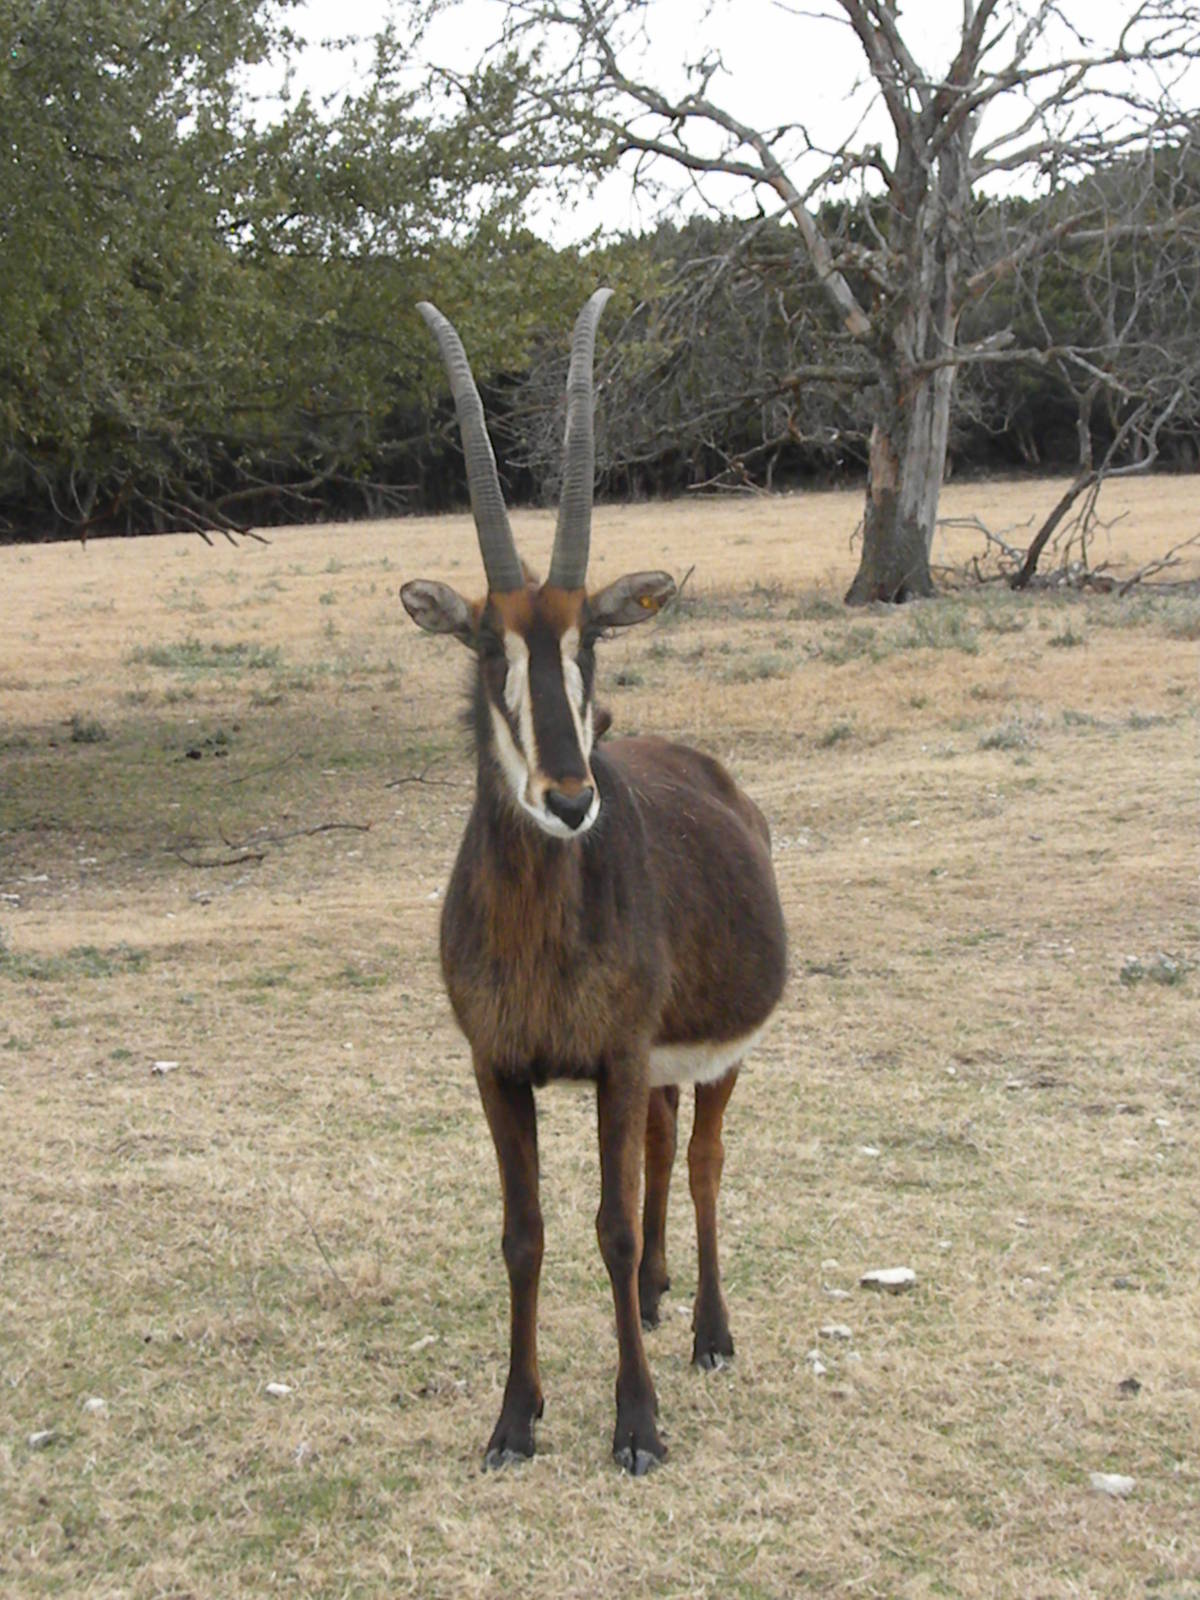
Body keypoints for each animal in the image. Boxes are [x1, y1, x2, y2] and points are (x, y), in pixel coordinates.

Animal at [401, 290, 787, 1474]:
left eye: (592, 645)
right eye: (488, 645)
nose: (569, 798)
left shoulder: (613, 1059)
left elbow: (608, 1227)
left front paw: (636, 1425)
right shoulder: (499, 1068)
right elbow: (523, 1234)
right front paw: (514, 1420)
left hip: (718, 1057)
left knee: (699, 1160)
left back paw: (705, 1329)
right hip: (651, 1065)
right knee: (662, 1147)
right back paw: (662, 1300)